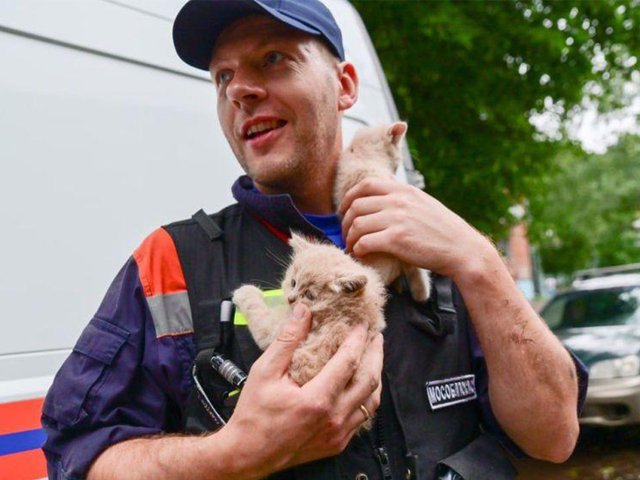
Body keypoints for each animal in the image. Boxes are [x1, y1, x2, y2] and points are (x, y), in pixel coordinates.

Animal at [231, 232, 384, 386]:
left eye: (309, 295)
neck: (342, 313)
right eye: (293, 282)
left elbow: (258, 314)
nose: (290, 299)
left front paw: (245, 292)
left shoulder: (275, 330)